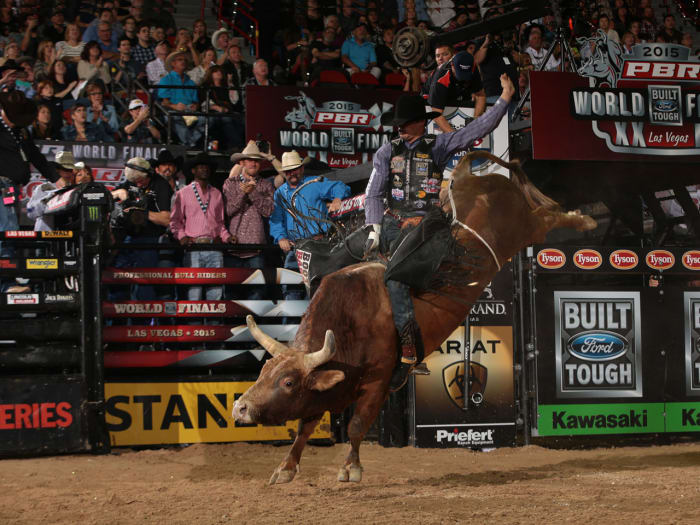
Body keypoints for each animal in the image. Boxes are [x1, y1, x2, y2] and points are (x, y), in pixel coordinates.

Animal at [232, 150, 592, 484]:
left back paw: (583, 220)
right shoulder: (325, 389)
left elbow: (357, 425)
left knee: (545, 217)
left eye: (288, 382)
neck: (351, 322)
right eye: (263, 371)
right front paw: (285, 468)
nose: (241, 407)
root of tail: (468, 178)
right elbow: (305, 426)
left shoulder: (378, 381)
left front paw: (351, 468)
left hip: (524, 227)